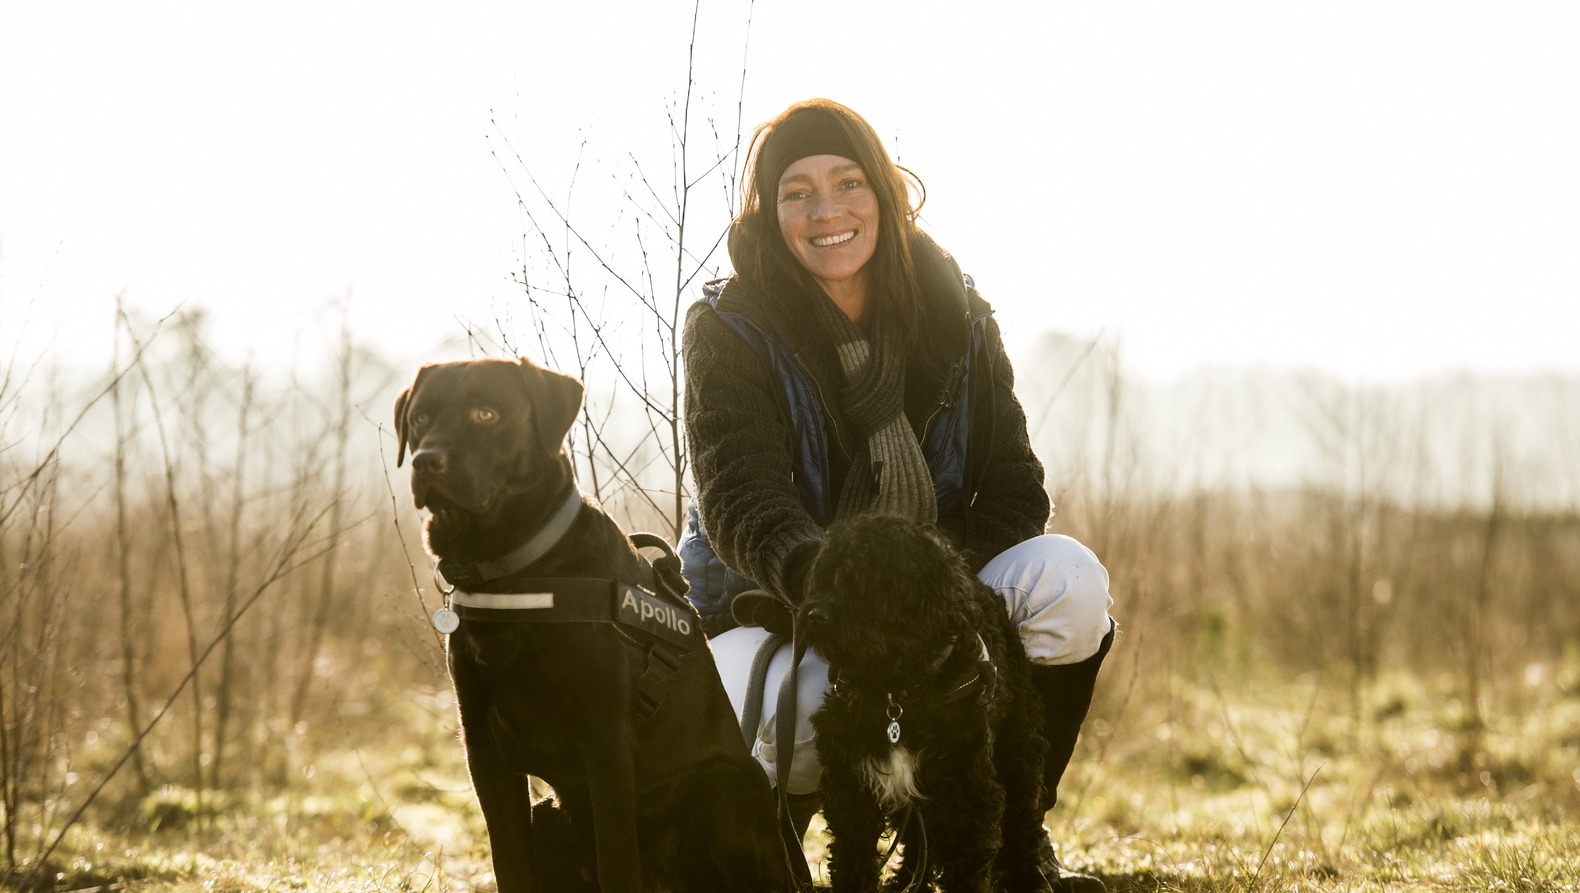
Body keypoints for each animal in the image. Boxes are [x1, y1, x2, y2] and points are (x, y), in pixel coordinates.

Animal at [802, 515, 1049, 891]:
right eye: (823, 577)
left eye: (859, 581)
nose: (812, 615)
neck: (897, 693)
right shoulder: (852, 786)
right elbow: (852, 857)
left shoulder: (967, 791)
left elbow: (967, 865)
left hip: (1018, 759)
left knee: (1022, 828)